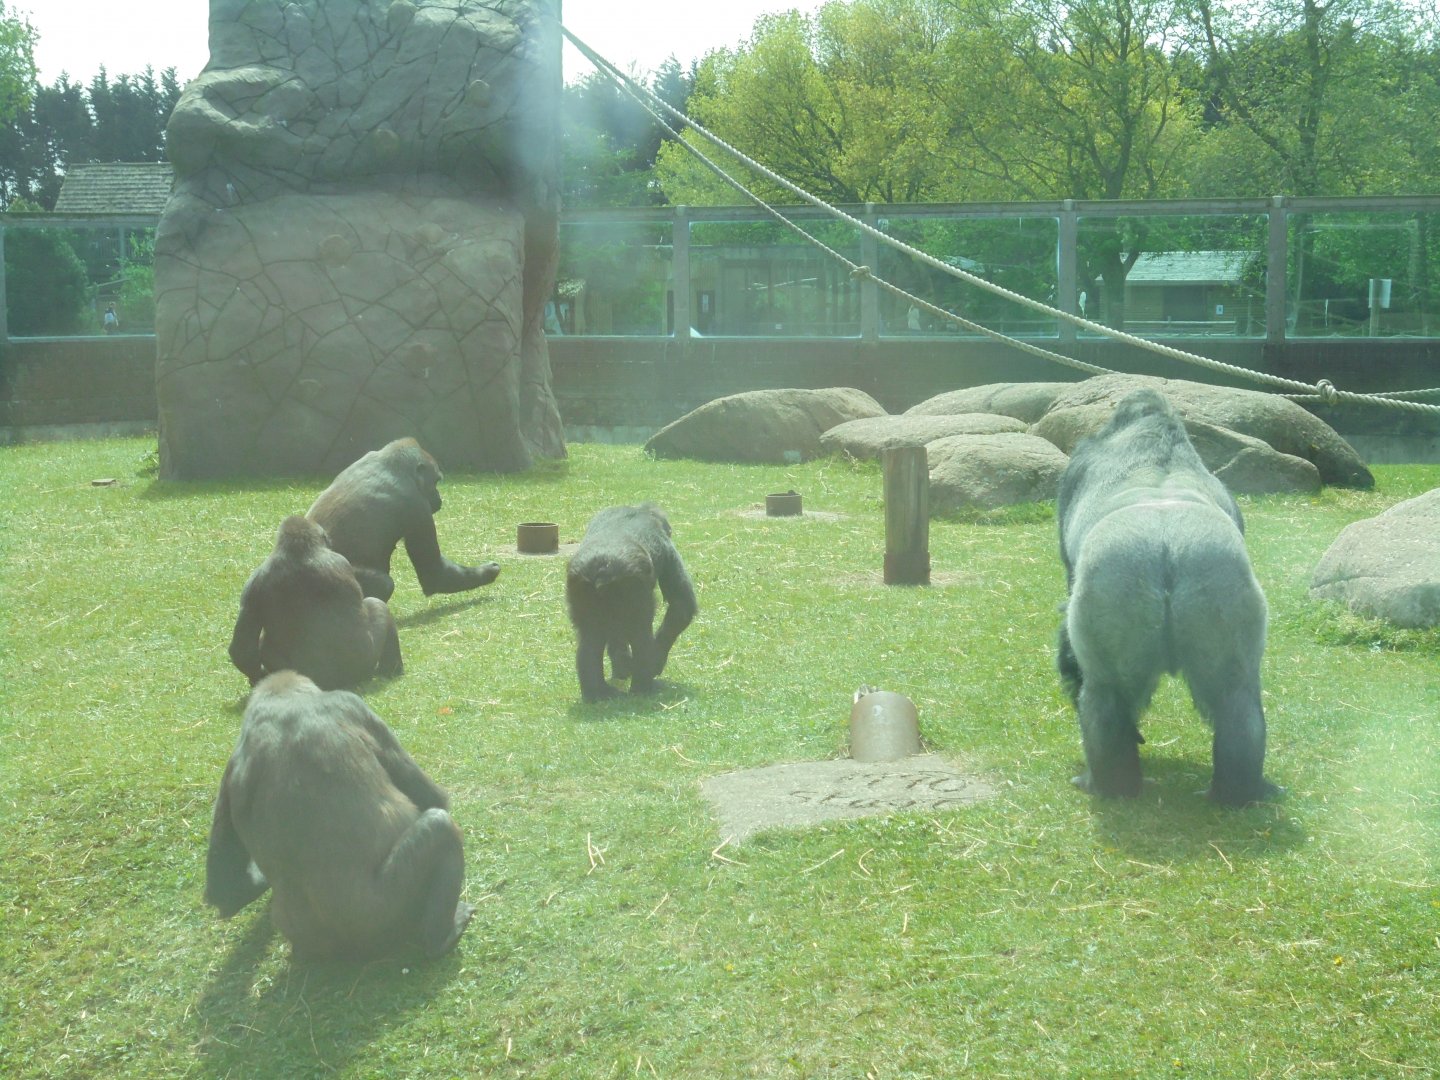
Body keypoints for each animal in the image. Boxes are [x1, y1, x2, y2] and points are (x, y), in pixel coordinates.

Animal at [205, 671, 474, 961]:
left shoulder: (231, 766)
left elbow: (227, 892)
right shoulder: (351, 704)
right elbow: (434, 800)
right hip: (380, 917)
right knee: (440, 825)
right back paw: (440, 937)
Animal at [228, 515, 403, 691]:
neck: (298, 552)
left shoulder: (251, 584)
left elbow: (242, 648)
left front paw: (258, 677)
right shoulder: (341, 562)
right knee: (378, 605)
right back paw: (392, 670)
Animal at [307, 437, 500, 603]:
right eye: (436, 481)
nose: (439, 498)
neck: (392, 466)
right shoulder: (417, 506)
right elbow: (434, 575)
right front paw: (487, 571)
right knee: (384, 584)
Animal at [565, 503, 697, 703]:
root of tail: (603, 569)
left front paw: (623, 666)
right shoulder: (667, 549)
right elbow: (682, 605)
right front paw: (656, 661)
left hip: (579, 583)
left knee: (590, 638)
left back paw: (596, 692)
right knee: (640, 632)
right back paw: (643, 686)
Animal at [1055, 388, 1280, 806]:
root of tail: (1169, 547)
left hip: (1117, 583)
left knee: (1104, 693)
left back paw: (1108, 784)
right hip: (1221, 583)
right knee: (1236, 695)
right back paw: (1238, 791)